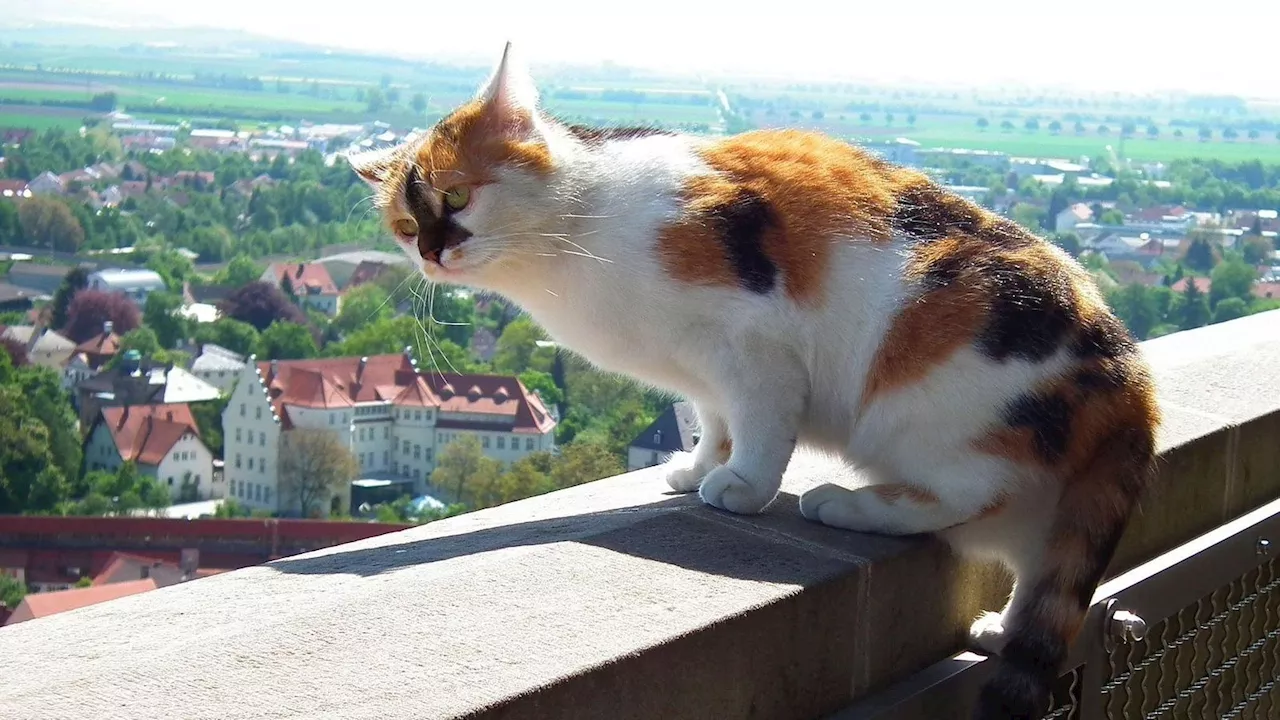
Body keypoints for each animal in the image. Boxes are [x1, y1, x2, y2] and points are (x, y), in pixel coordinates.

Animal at [348, 43, 1162, 717]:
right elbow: (715, 418)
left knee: (969, 492)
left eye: (457, 196)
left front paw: (743, 486)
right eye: (403, 226)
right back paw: (1001, 628)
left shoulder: (755, 343)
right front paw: (698, 467)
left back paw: (849, 504)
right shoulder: (703, 371)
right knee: (1036, 565)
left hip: (927, 403)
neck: (573, 239)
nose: (431, 251)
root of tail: (1130, 379)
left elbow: (763, 425)